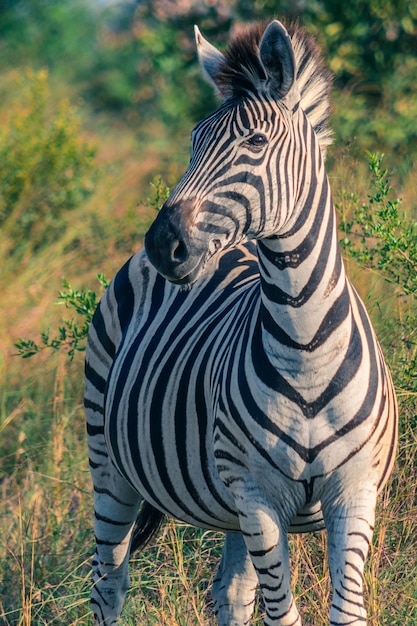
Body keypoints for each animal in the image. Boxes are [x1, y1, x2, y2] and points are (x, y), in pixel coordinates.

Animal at [85, 19, 396, 624]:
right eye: (193, 142)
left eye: (254, 143)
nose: (162, 246)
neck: (304, 346)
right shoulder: (257, 495)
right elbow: (284, 615)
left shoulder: (354, 493)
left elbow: (344, 611)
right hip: (109, 464)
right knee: (108, 583)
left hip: (229, 509)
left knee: (230, 593)